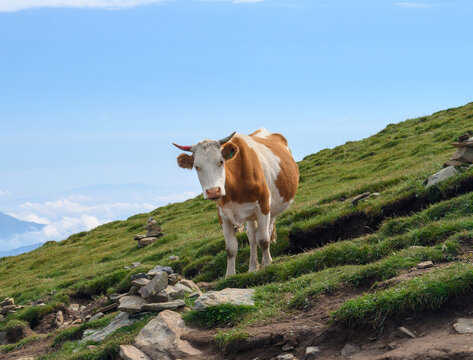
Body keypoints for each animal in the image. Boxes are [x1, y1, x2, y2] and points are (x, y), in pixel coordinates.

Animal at [173, 128, 298, 278]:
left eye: (221, 161)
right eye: (197, 166)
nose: (213, 191)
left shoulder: (263, 205)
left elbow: (263, 239)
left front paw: (267, 264)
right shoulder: (223, 215)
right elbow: (231, 248)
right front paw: (229, 275)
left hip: (272, 208)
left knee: (266, 231)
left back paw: (263, 262)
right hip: (251, 214)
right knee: (252, 236)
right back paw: (253, 267)